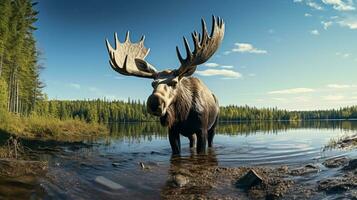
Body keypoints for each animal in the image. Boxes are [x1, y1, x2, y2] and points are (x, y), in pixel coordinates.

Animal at [104, 16, 224, 155]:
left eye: (175, 82)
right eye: (152, 83)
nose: (154, 102)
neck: (183, 114)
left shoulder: (201, 129)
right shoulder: (172, 130)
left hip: (214, 125)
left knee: (211, 141)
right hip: (191, 134)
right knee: (191, 142)